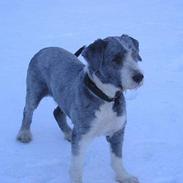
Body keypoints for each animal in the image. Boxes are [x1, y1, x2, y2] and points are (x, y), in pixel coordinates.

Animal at [16, 34, 143, 183]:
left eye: (134, 54)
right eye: (116, 58)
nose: (139, 77)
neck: (106, 97)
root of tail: (45, 49)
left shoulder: (117, 131)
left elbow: (117, 159)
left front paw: (124, 176)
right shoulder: (83, 134)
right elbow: (77, 164)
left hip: (63, 98)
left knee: (57, 112)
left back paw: (68, 133)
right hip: (35, 89)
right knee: (28, 111)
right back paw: (24, 134)